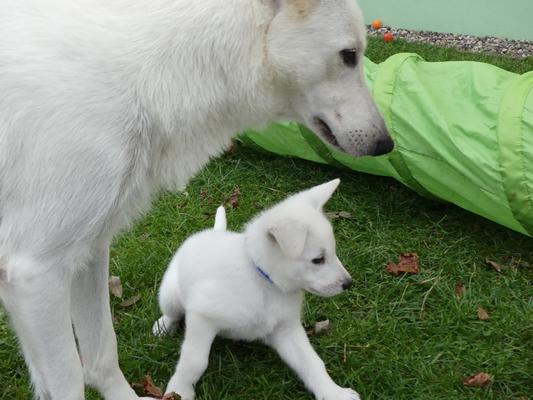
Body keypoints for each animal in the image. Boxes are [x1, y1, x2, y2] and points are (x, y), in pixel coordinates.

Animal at [156, 180, 360, 400]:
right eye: (318, 259)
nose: (348, 283)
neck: (265, 283)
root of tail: (215, 231)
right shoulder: (201, 317)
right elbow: (194, 362)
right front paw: (179, 391)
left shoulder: (286, 329)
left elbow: (312, 362)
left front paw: (333, 392)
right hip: (170, 295)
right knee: (172, 312)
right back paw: (163, 325)